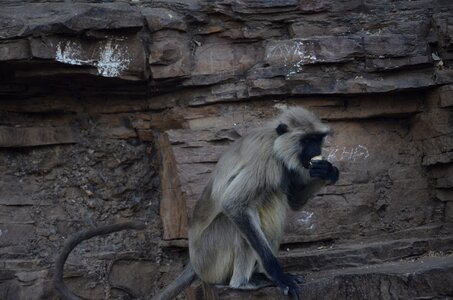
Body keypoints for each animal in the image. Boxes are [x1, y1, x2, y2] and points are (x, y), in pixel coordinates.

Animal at [153, 106, 340, 300]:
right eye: (307, 140)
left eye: (317, 139)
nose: (316, 149)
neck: (275, 142)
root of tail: (193, 260)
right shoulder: (265, 158)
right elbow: (232, 204)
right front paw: (278, 274)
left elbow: (294, 202)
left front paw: (328, 171)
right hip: (209, 259)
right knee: (236, 221)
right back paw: (243, 283)